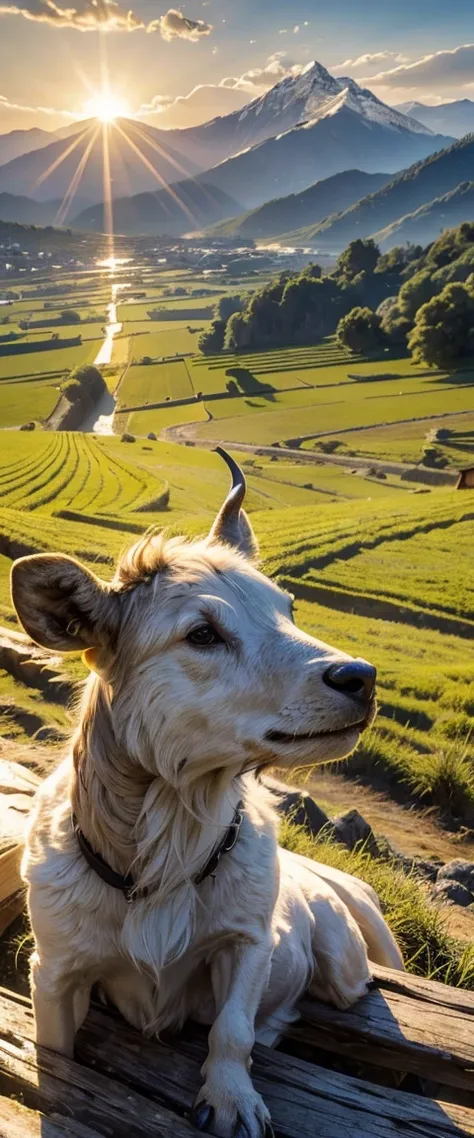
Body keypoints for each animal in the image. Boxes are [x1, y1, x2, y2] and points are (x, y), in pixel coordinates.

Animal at [11, 446, 400, 1138]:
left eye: (289, 609)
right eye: (202, 634)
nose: (363, 677)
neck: (168, 844)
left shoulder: (248, 944)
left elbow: (231, 1030)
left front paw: (231, 1099)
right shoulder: (54, 974)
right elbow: (54, 1054)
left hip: (344, 967)